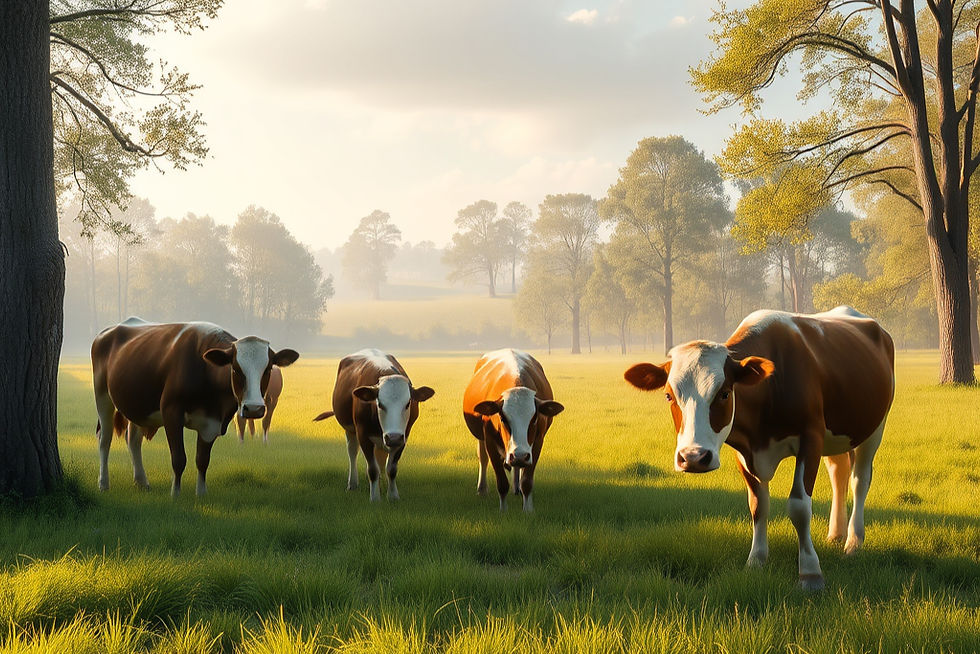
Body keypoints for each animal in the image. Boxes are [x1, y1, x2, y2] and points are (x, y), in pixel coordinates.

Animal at [91, 317, 299, 497]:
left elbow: (202, 460)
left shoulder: (213, 422)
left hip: (138, 407)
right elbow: (179, 458)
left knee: (133, 440)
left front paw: (201, 494)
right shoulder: (171, 413)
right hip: (102, 396)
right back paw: (103, 483)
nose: (254, 408)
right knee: (105, 439)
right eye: (235, 368)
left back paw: (142, 481)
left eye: (268, 368)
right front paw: (175, 494)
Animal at [312, 349, 434, 502]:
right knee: (352, 452)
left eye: (408, 404)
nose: (393, 438)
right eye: (380, 404)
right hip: (350, 429)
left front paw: (392, 496)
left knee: (380, 457)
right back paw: (353, 484)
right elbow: (372, 469)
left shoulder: (404, 436)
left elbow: (391, 469)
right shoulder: (363, 435)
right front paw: (375, 498)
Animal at [463, 349, 564, 512]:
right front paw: (503, 511)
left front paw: (528, 510)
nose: (519, 455)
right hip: (482, 438)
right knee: (483, 458)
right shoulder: (489, 441)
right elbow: (502, 482)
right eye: (503, 418)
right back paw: (482, 489)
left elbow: (527, 481)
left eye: (534, 418)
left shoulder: (537, 443)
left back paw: (518, 490)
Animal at [624, 306, 894, 590]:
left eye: (724, 393)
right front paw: (756, 561)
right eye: (668, 396)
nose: (694, 458)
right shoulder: (745, 451)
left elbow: (799, 506)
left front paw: (810, 572)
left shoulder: (811, 437)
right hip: (838, 435)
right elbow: (757, 504)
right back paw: (836, 533)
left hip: (875, 427)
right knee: (838, 473)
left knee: (859, 480)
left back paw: (853, 542)